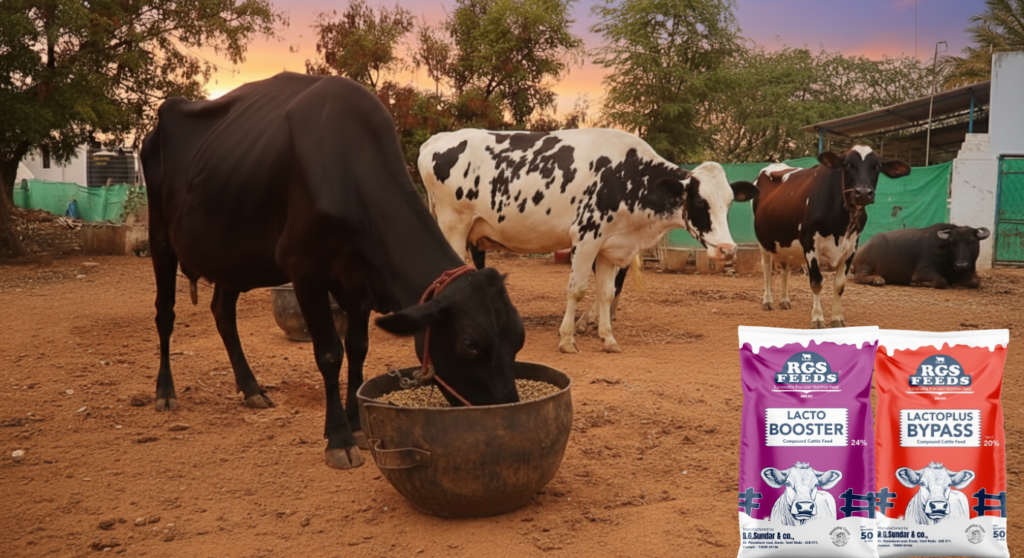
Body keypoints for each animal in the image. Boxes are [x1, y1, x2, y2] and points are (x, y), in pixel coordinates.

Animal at [140, 72, 525, 471]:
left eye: (519, 337)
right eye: (470, 344)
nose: (507, 416)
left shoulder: (358, 282)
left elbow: (357, 348)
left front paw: (357, 425)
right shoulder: (303, 268)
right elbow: (329, 353)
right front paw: (339, 438)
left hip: (232, 253)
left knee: (222, 312)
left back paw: (251, 389)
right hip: (160, 237)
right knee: (165, 313)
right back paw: (165, 392)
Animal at [419, 128, 756, 353]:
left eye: (729, 203)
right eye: (700, 201)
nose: (728, 249)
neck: (627, 177)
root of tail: (435, 141)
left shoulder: (609, 247)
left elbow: (607, 292)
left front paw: (607, 337)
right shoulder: (586, 238)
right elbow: (578, 289)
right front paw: (568, 338)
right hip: (453, 226)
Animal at [752, 146, 910, 328]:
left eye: (877, 167)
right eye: (847, 164)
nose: (863, 192)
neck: (842, 224)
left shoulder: (851, 247)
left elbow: (840, 284)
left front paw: (836, 318)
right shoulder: (810, 245)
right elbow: (816, 283)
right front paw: (817, 318)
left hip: (784, 243)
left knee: (786, 268)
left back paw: (784, 300)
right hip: (763, 242)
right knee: (766, 268)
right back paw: (767, 301)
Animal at [852, 224, 990, 289]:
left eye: (972, 241)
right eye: (952, 243)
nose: (961, 265)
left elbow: (975, 281)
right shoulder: (922, 272)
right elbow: (942, 281)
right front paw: (917, 283)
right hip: (868, 263)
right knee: (859, 277)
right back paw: (877, 279)